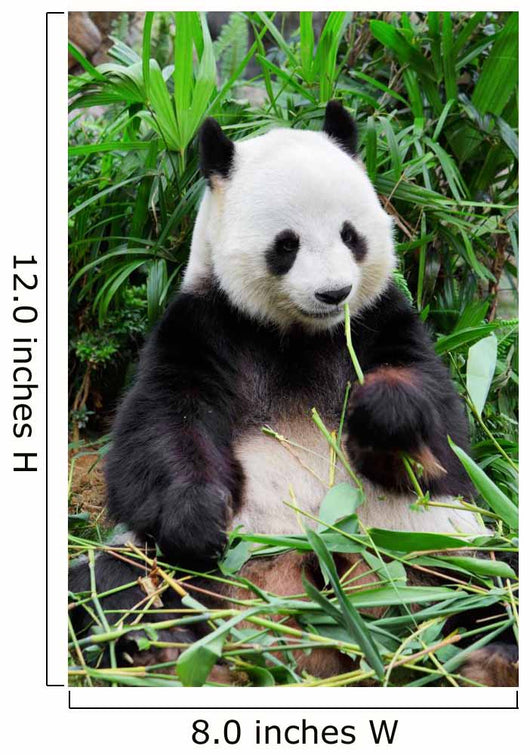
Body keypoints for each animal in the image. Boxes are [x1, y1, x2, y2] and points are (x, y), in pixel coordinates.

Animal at [70, 101, 517, 686]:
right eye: (287, 244)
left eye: (351, 235)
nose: (334, 292)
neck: (299, 334)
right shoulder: (205, 325)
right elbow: (160, 429)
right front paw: (198, 517)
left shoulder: (381, 319)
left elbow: (442, 440)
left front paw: (385, 413)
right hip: (200, 574)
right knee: (115, 584)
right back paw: (164, 651)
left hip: (432, 549)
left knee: (488, 581)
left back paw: (488, 656)